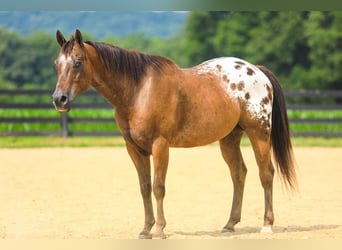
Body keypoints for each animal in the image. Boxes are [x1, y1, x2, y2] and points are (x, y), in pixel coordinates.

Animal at [52, 29, 296, 238]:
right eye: (56, 64)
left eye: (77, 62)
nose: (59, 99)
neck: (138, 91)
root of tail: (257, 71)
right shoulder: (134, 149)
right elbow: (144, 187)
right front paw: (145, 230)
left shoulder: (160, 146)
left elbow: (158, 187)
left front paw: (160, 229)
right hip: (229, 139)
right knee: (238, 174)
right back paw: (229, 224)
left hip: (259, 134)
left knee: (266, 174)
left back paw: (267, 225)